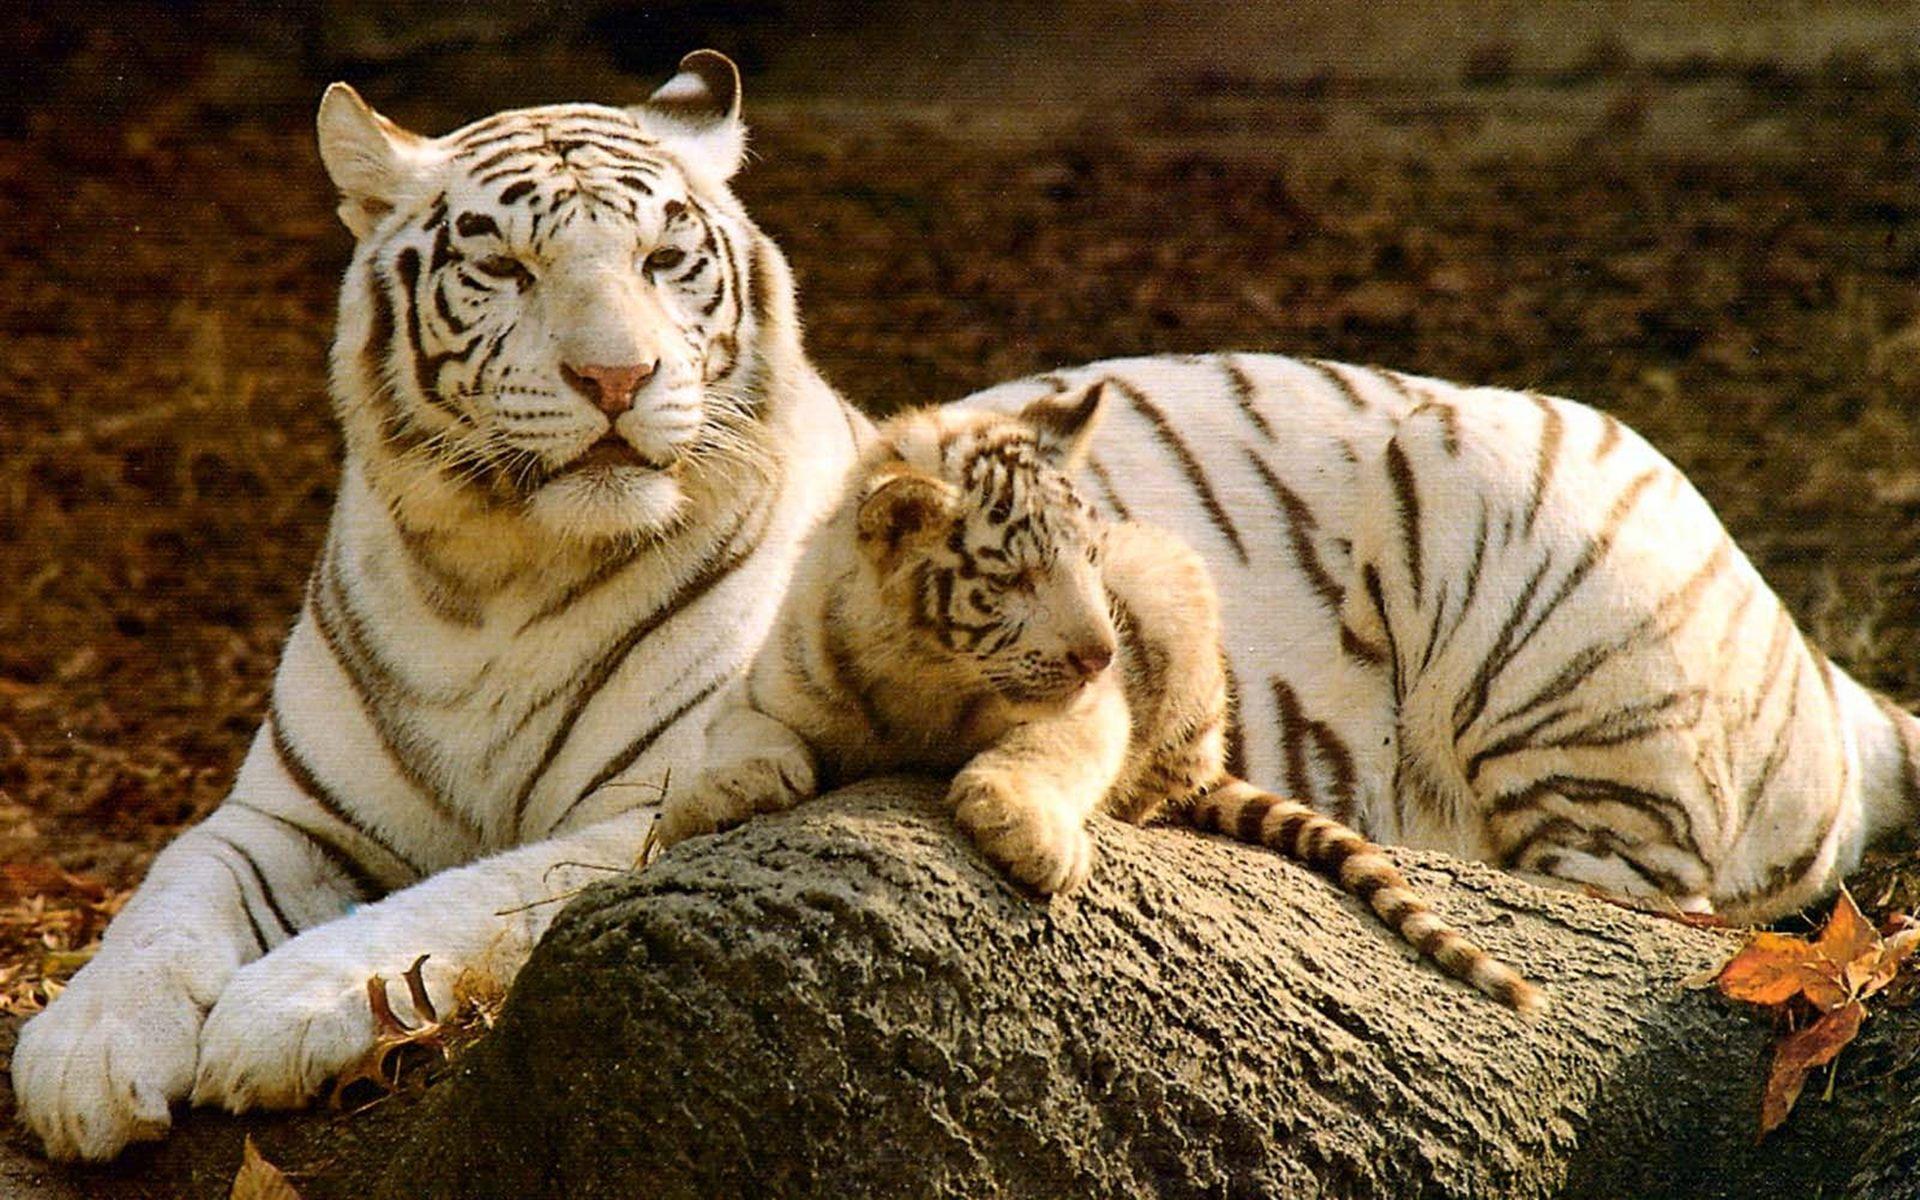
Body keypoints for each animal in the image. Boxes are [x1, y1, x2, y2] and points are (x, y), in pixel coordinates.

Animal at [655, 384, 1545, 1012]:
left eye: (1085, 556)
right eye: (1015, 577)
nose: (1101, 651)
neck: (925, 674)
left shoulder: (1091, 707)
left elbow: (1045, 750)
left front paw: (1024, 831)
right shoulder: (770, 681)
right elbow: (741, 735)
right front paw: (718, 795)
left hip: (1173, 583)